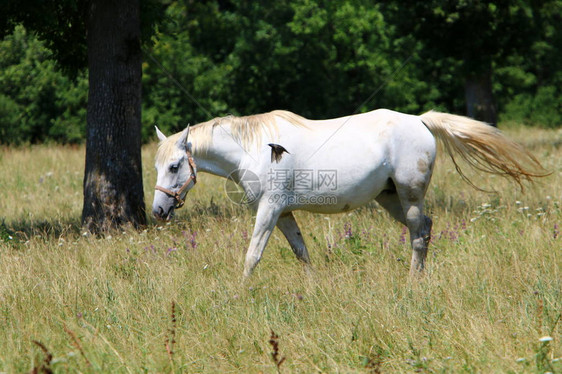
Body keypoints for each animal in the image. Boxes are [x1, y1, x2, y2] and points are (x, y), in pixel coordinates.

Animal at [150, 109, 544, 276]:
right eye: (157, 166)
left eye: (175, 166)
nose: (158, 211)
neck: (253, 148)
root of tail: (420, 120)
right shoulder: (284, 212)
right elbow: (302, 253)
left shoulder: (269, 209)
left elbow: (252, 256)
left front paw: (240, 293)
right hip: (389, 197)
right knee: (426, 228)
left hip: (409, 196)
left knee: (418, 234)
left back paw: (413, 282)